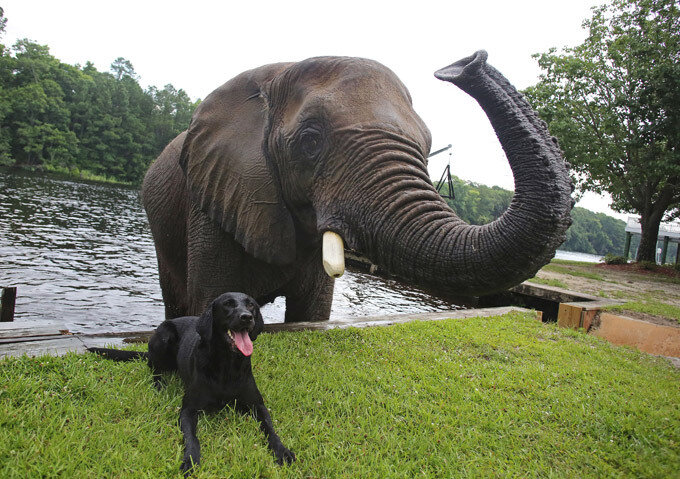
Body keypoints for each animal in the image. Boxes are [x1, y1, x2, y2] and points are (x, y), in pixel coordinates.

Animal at [88, 292, 294, 476]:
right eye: (228, 304)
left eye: (250, 304)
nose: (246, 317)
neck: (226, 366)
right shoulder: (188, 410)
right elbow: (192, 438)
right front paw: (190, 460)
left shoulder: (257, 405)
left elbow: (270, 430)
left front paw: (282, 451)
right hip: (164, 336)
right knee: (153, 368)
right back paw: (159, 384)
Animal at [142, 51, 572, 322]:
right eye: (310, 141)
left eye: (429, 145)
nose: (465, 63)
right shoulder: (213, 196)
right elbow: (209, 302)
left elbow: (312, 314)